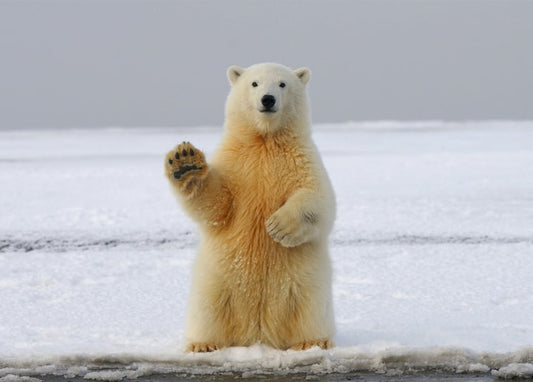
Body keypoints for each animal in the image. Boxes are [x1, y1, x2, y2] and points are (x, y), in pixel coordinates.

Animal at [164, 62, 334, 352]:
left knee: (310, 309)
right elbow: (217, 204)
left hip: (306, 282)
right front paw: (185, 162)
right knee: (208, 309)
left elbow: (319, 199)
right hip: (216, 281)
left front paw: (278, 226)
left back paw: (313, 342)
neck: (264, 141)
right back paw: (202, 344)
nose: (268, 99)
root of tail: (258, 334)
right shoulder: (236, 164)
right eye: (254, 83)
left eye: (282, 84)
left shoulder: (302, 160)